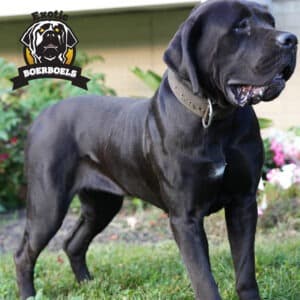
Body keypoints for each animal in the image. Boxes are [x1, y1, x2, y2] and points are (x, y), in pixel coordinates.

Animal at [14, 0, 296, 300]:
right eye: (240, 26)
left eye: (271, 22)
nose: (291, 39)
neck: (216, 117)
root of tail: (42, 115)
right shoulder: (185, 218)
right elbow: (203, 279)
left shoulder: (243, 202)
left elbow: (245, 271)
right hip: (48, 204)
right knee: (24, 253)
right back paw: (30, 294)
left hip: (102, 204)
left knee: (73, 242)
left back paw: (88, 284)